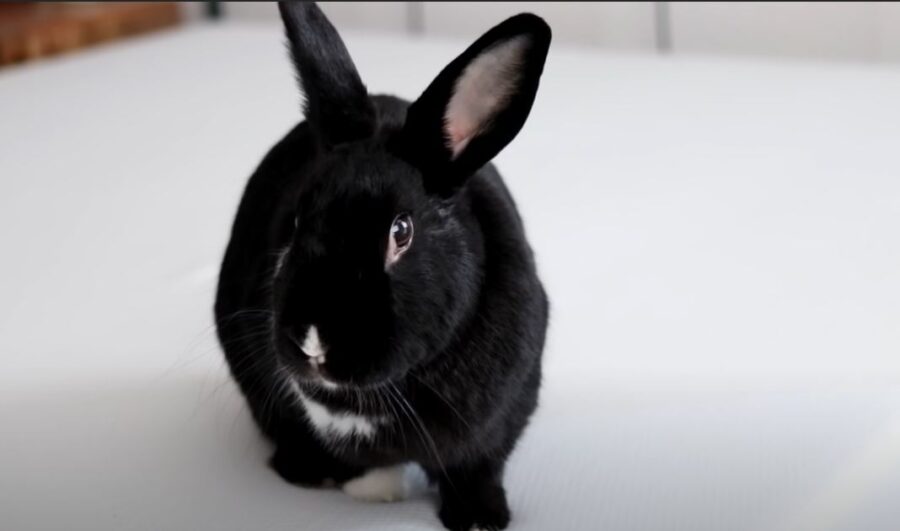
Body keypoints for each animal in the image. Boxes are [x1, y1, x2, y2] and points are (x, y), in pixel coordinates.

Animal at [214, 2, 550, 530]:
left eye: (401, 232)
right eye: (296, 221)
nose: (314, 343)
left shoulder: (499, 424)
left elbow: (477, 467)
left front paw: (479, 518)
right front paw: (375, 490)